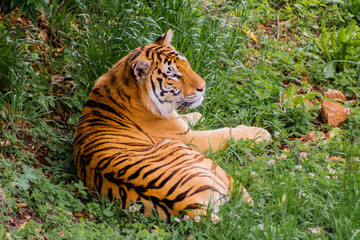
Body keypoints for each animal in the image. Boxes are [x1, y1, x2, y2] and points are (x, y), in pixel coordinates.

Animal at [73, 29, 272, 221]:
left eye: (187, 65)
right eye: (175, 75)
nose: (203, 87)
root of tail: (190, 208)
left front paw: (196, 115)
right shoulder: (190, 138)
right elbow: (223, 134)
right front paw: (260, 133)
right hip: (208, 164)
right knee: (246, 196)